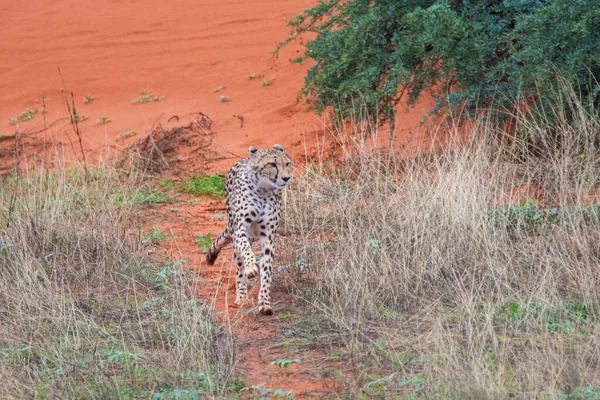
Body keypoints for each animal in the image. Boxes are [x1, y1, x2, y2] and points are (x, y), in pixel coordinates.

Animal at [205, 144, 292, 316]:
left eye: (287, 164)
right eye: (272, 164)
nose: (286, 178)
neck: (264, 189)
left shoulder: (268, 238)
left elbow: (267, 271)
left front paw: (265, 302)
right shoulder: (240, 228)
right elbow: (246, 250)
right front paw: (251, 267)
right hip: (236, 233)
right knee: (239, 265)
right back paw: (241, 295)